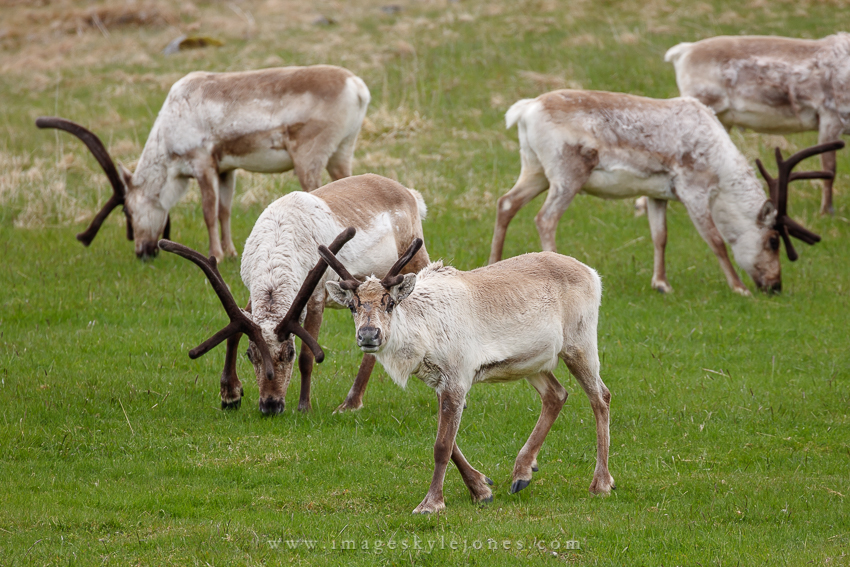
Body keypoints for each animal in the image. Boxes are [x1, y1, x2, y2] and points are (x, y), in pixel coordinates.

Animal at [36, 65, 371, 261]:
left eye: (128, 210)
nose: (143, 252)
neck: (167, 132)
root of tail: (358, 87)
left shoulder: (202, 163)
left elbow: (208, 211)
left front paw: (215, 256)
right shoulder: (227, 169)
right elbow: (225, 210)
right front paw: (231, 251)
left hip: (309, 156)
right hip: (343, 150)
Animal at [159, 174, 430, 415]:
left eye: (289, 353)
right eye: (251, 355)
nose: (270, 405)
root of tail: (412, 194)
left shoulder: (317, 294)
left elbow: (308, 356)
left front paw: (304, 406)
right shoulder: (251, 292)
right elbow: (234, 332)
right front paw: (230, 395)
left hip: (415, 258)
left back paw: (350, 403)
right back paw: (351, 401)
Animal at [320, 240, 613, 514]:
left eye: (390, 303)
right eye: (352, 306)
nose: (369, 335)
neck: (422, 332)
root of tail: (593, 273)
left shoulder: (457, 377)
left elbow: (442, 446)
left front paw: (431, 503)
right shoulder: (439, 381)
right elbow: (450, 443)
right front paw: (481, 489)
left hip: (579, 344)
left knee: (601, 397)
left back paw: (601, 483)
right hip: (533, 362)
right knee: (556, 394)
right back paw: (522, 472)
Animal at [489, 89, 843, 296]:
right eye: (772, 240)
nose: (775, 285)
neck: (718, 164)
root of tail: (524, 110)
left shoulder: (657, 193)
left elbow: (660, 236)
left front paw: (661, 283)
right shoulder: (693, 189)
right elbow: (715, 240)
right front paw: (739, 287)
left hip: (534, 169)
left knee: (506, 203)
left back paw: (492, 265)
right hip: (567, 173)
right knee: (544, 218)